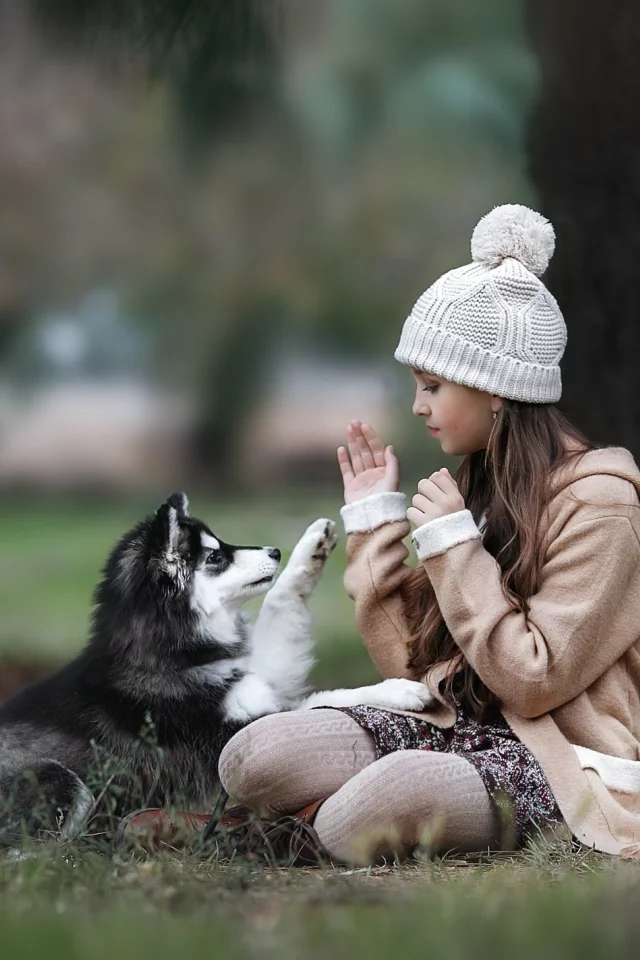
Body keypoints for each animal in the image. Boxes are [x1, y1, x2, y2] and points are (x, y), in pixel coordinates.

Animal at [0, 492, 432, 836]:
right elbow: (326, 699)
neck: (171, 652)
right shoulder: (227, 732)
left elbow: (278, 603)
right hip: (60, 778)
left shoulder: (261, 678)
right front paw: (397, 690)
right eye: (216, 557)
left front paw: (312, 547)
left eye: (220, 543)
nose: (275, 551)